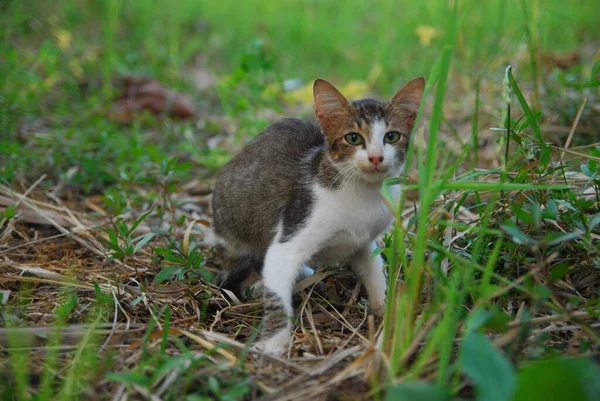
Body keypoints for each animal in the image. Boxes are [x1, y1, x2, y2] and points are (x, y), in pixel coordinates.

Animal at [213, 76, 424, 354]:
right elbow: (277, 290)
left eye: (391, 136)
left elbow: (374, 271)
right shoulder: (294, 229)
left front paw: (385, 310)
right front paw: (273, 341)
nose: (376, 157)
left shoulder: (365, 240)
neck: (362, 193)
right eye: (353, 138)